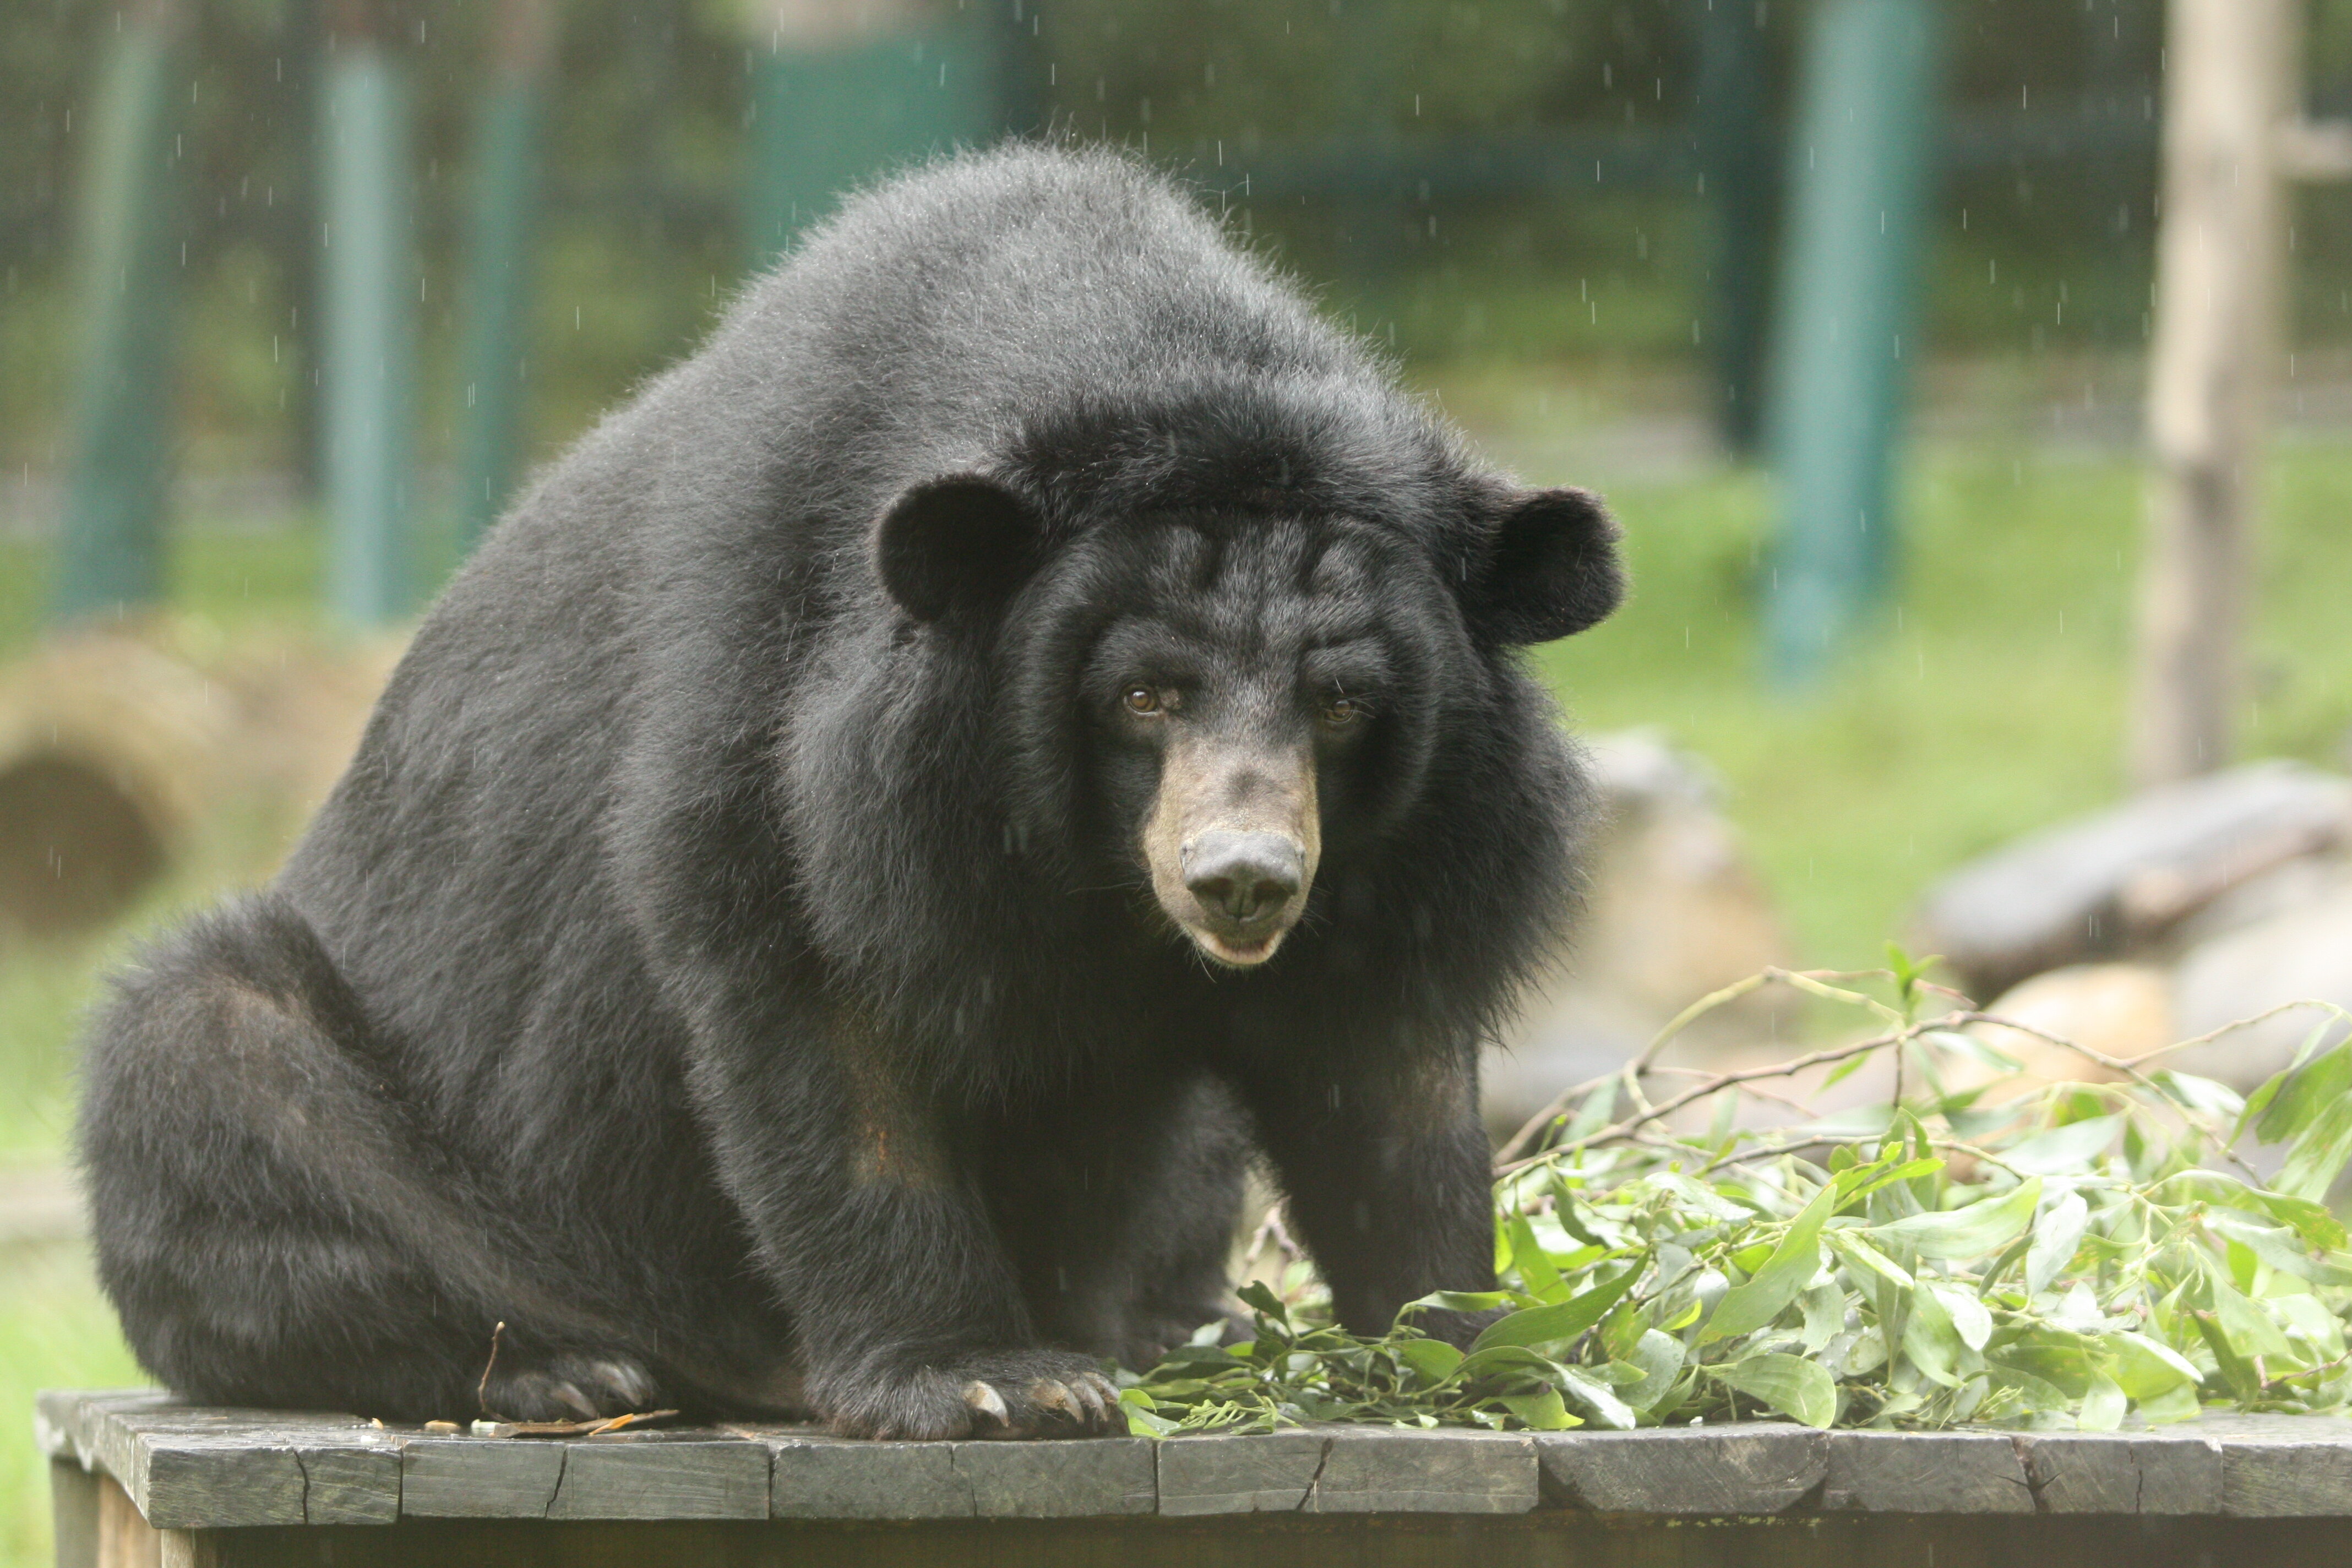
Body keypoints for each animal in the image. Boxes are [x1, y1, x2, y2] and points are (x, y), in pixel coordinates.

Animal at [77, 144, 1623, 1439]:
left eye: (1343, 700)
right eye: (1142, 695)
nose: (1241, 878)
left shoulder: (1427, 846)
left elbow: (1384, 1074)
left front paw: (1482, 1342)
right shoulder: (790, 715)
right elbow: (818, 1002)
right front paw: (991, 1382)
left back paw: (1165, 1327)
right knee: (216, 1079)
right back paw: (559, 1369)